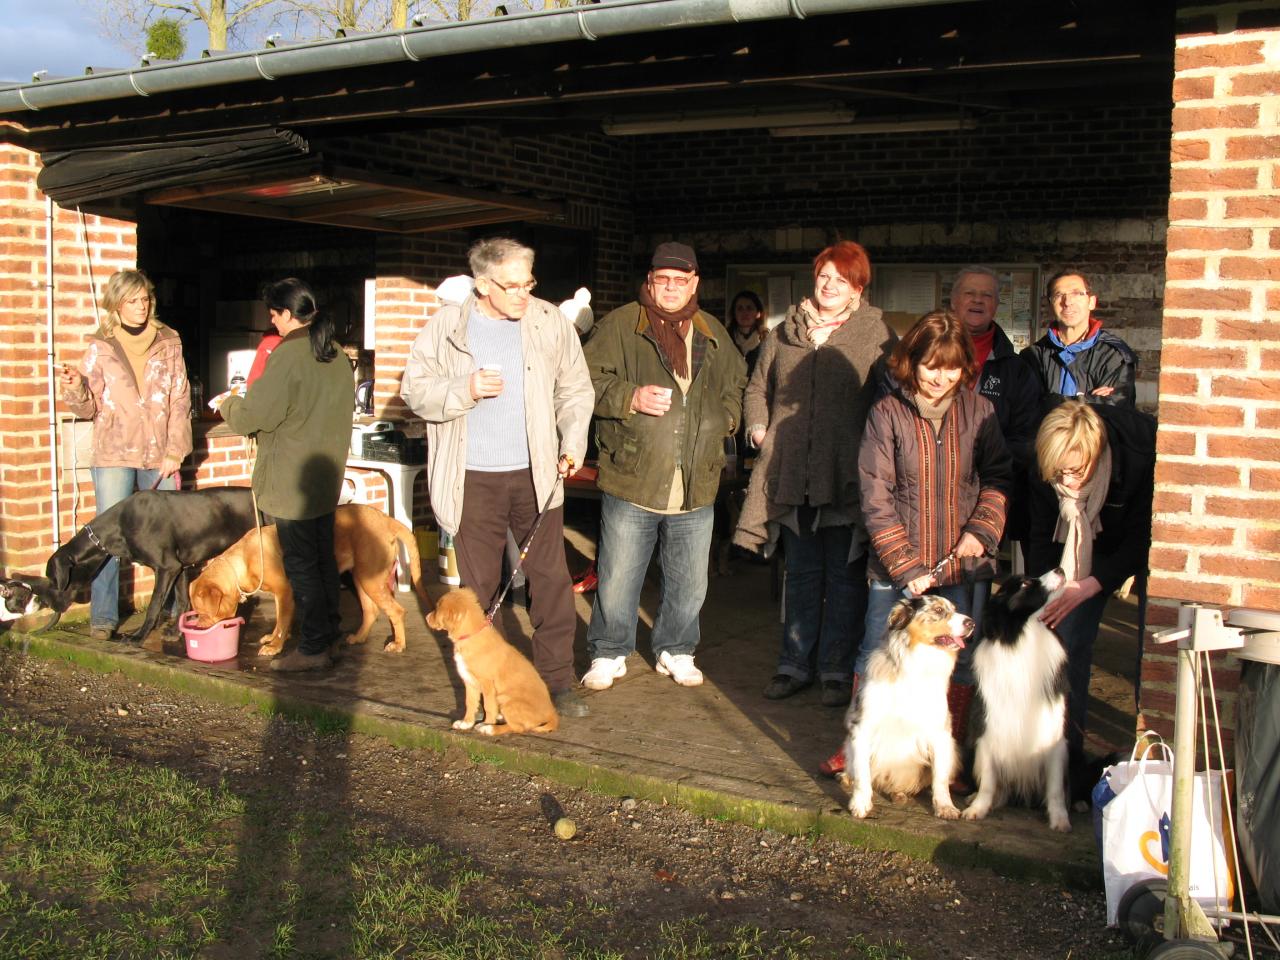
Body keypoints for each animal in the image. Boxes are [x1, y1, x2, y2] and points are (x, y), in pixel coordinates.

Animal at [17, 488, 259, 647]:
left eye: (53, 579)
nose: (46, 603)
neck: (119, 526)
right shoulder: (180, 566)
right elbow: (182, 600)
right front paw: (175, 630)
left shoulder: (166, 567)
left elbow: (153, 605)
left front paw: (138, 635)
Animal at [186, 506, 432, 660]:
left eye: (204, 612)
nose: (199, 626)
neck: (243, 562)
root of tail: (387, 519)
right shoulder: (282, 596)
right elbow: (279, 621)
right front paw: (272, 638)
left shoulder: (284, 592)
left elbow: (282, 622)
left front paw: (275, 647)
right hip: (362, 577)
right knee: (371, 610)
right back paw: (358, 637)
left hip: (370, 579)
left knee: (397, 611)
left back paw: (398, 644)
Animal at [427, 586, 558, 737]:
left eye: (437, 608)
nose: (426, 617)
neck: (471, 636)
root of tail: (551, 713)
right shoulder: (469, 681)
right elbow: (470, 703)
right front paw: (466, 723)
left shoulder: (488, 684)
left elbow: (488, 706)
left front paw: (486, 723)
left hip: (506, 699)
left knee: (518, 728)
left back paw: (490, 729)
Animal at [844, 599, 972, 824]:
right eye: (938, 609)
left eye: (955, 609)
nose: (972, 623)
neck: (917, 666)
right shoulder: (862, 727)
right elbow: (862, 773)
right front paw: (860, 804)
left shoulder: (940, 733)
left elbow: (940, 779)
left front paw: (945, 807)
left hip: (953, 750)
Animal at [962, 570, 1070, 834]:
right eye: (1025, 583)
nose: (1061, 570)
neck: (1024, 638)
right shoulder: (988, 729)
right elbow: (988, 781)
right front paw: (977, 809)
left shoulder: (1053, 734)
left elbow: (1055, 788)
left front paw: (1060, 820)